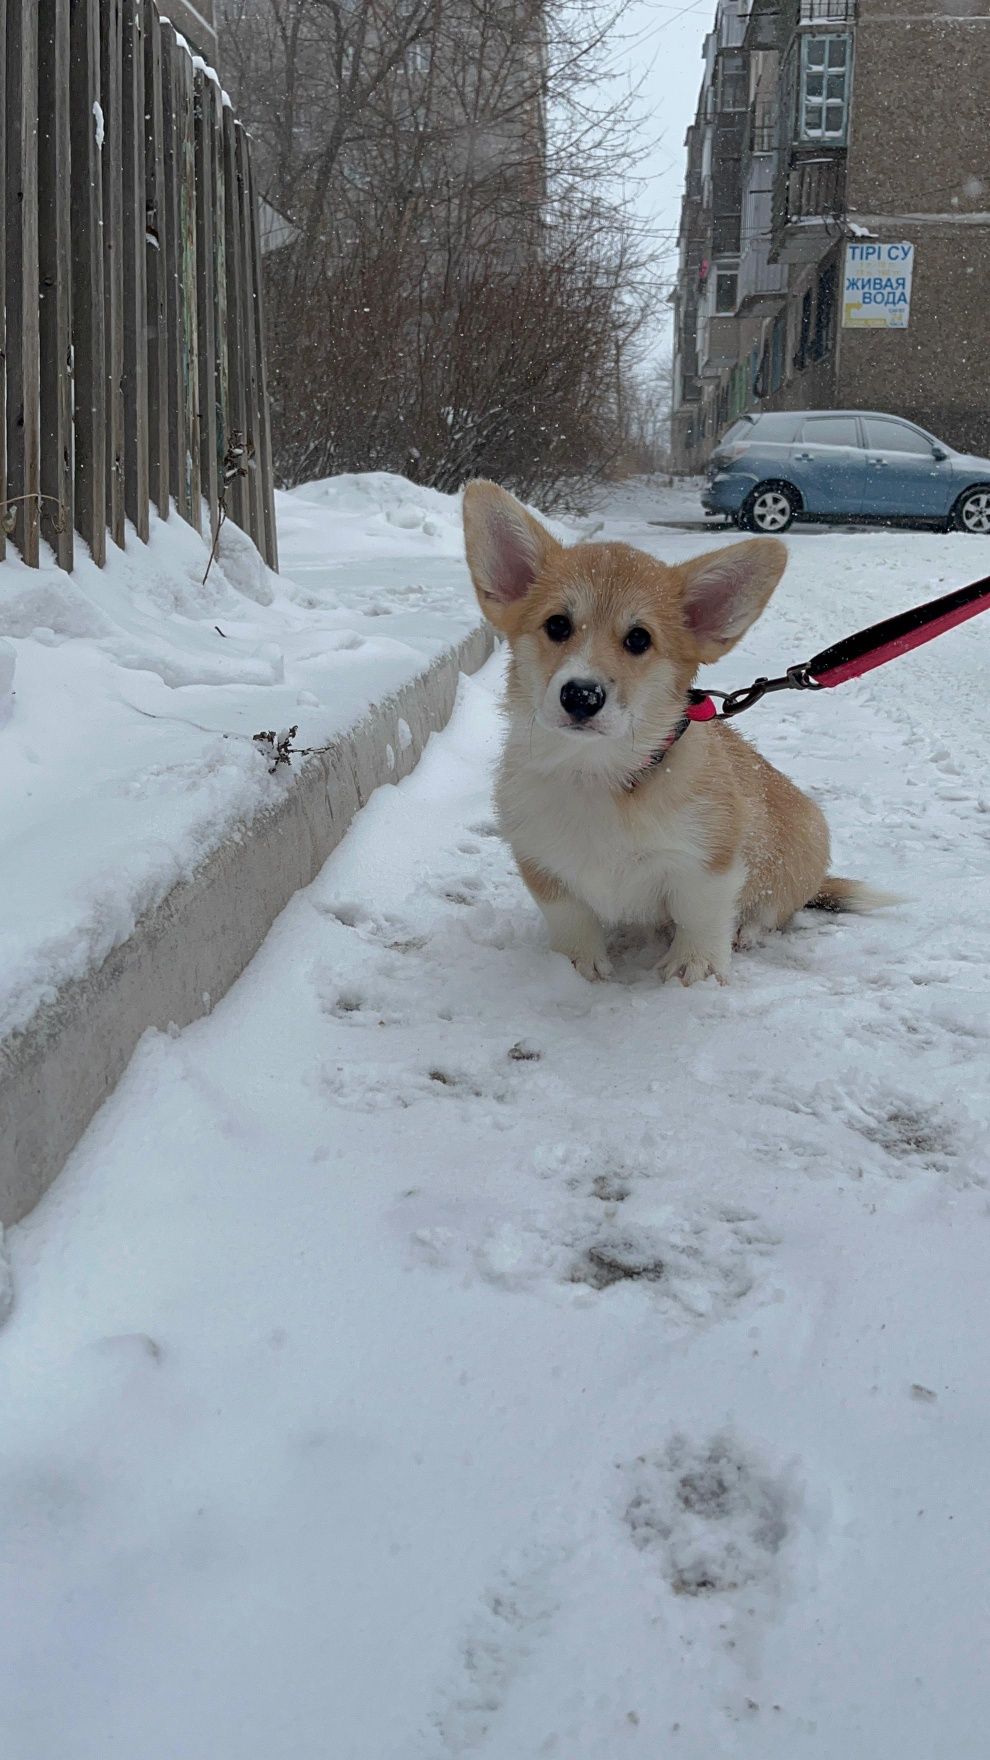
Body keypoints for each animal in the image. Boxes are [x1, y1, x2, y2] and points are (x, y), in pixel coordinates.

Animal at [461, 475, 887, 985]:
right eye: (557, 625)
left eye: (639, 639)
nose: (581, 696)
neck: (599, 773)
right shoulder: (541, 860)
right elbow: (570, 916)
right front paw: (575, 964)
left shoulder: (709, 861)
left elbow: (701, 913)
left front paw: (694, 967)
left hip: (805, 844)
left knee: (774, 910)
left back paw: (747, 931)